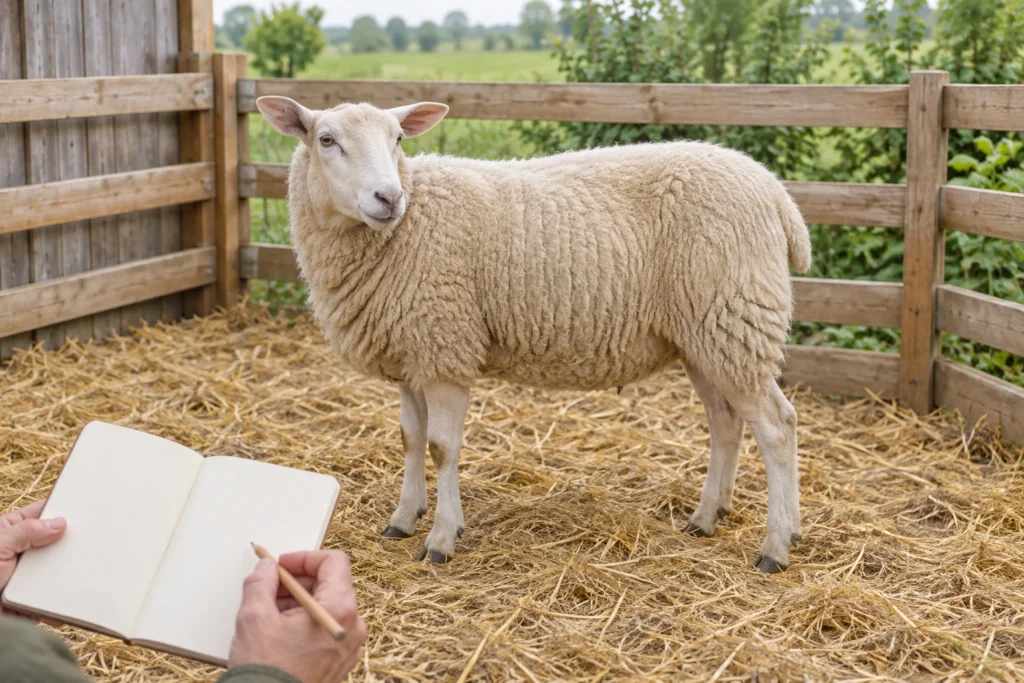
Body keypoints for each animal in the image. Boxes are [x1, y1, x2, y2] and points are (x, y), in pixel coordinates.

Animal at [256, 95, 812, 573]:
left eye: (397, 138)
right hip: (703, 335)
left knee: (777, 427)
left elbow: (442, 449)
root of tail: (777, 194)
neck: (405, 228)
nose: (388, 197)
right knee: (726, 423)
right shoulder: (413, 354)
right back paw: (706, 518)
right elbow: (410, 440)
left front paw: (441, 538)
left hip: (734, 316)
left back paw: (776, 546)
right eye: (326, 139)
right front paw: (403, 518)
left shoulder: (446, 348)